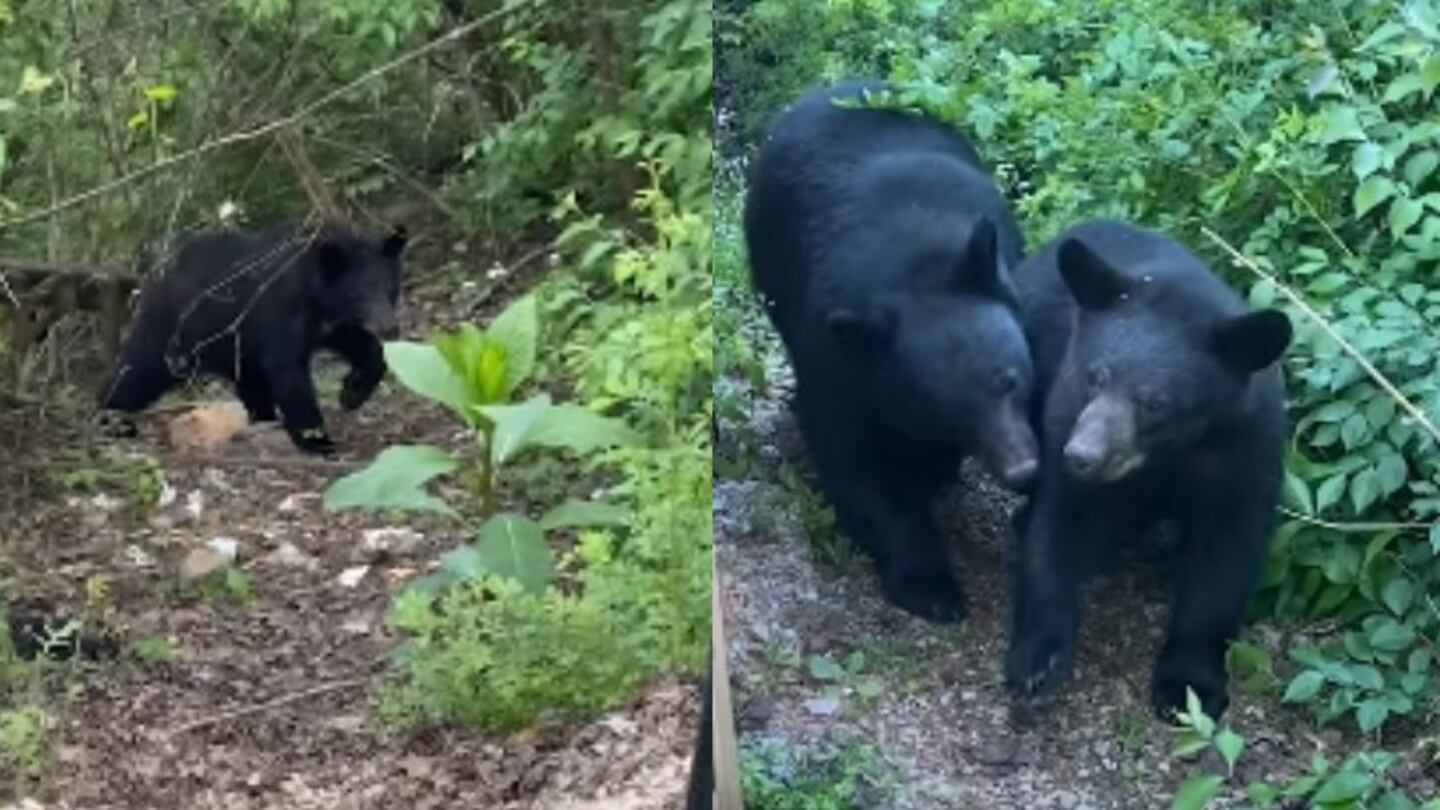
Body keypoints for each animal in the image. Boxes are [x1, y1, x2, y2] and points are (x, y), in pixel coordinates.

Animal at [100, 219, 406, 455]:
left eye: (391, 288)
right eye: (361, 294)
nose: (390, 327)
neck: (314, 288)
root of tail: (153, 276)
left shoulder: (328, 322)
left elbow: (358, 343)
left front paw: (352, 392)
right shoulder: (281, 310)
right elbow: (288, 370)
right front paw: (318, 440)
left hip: (235, 348)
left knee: (250, 382)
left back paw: (265, 419)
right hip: (173, 331)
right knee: (138, 370)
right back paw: (111, 418)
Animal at [748, 82, 1042, 619]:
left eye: (1010, 380)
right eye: (953, 413)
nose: (1023, 469)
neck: (913, 270)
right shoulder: (835, 359)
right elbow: (858, 465)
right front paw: (932, 587)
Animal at [1002, 219, 1296, 717]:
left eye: (1157, 402)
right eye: (1096, 375)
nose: (1081, 454)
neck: (1169, 454)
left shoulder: (1246, 449)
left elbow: (1228, 555)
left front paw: (1189, 686)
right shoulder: (1067, 408)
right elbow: (1059, 525)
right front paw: (1038, 660)